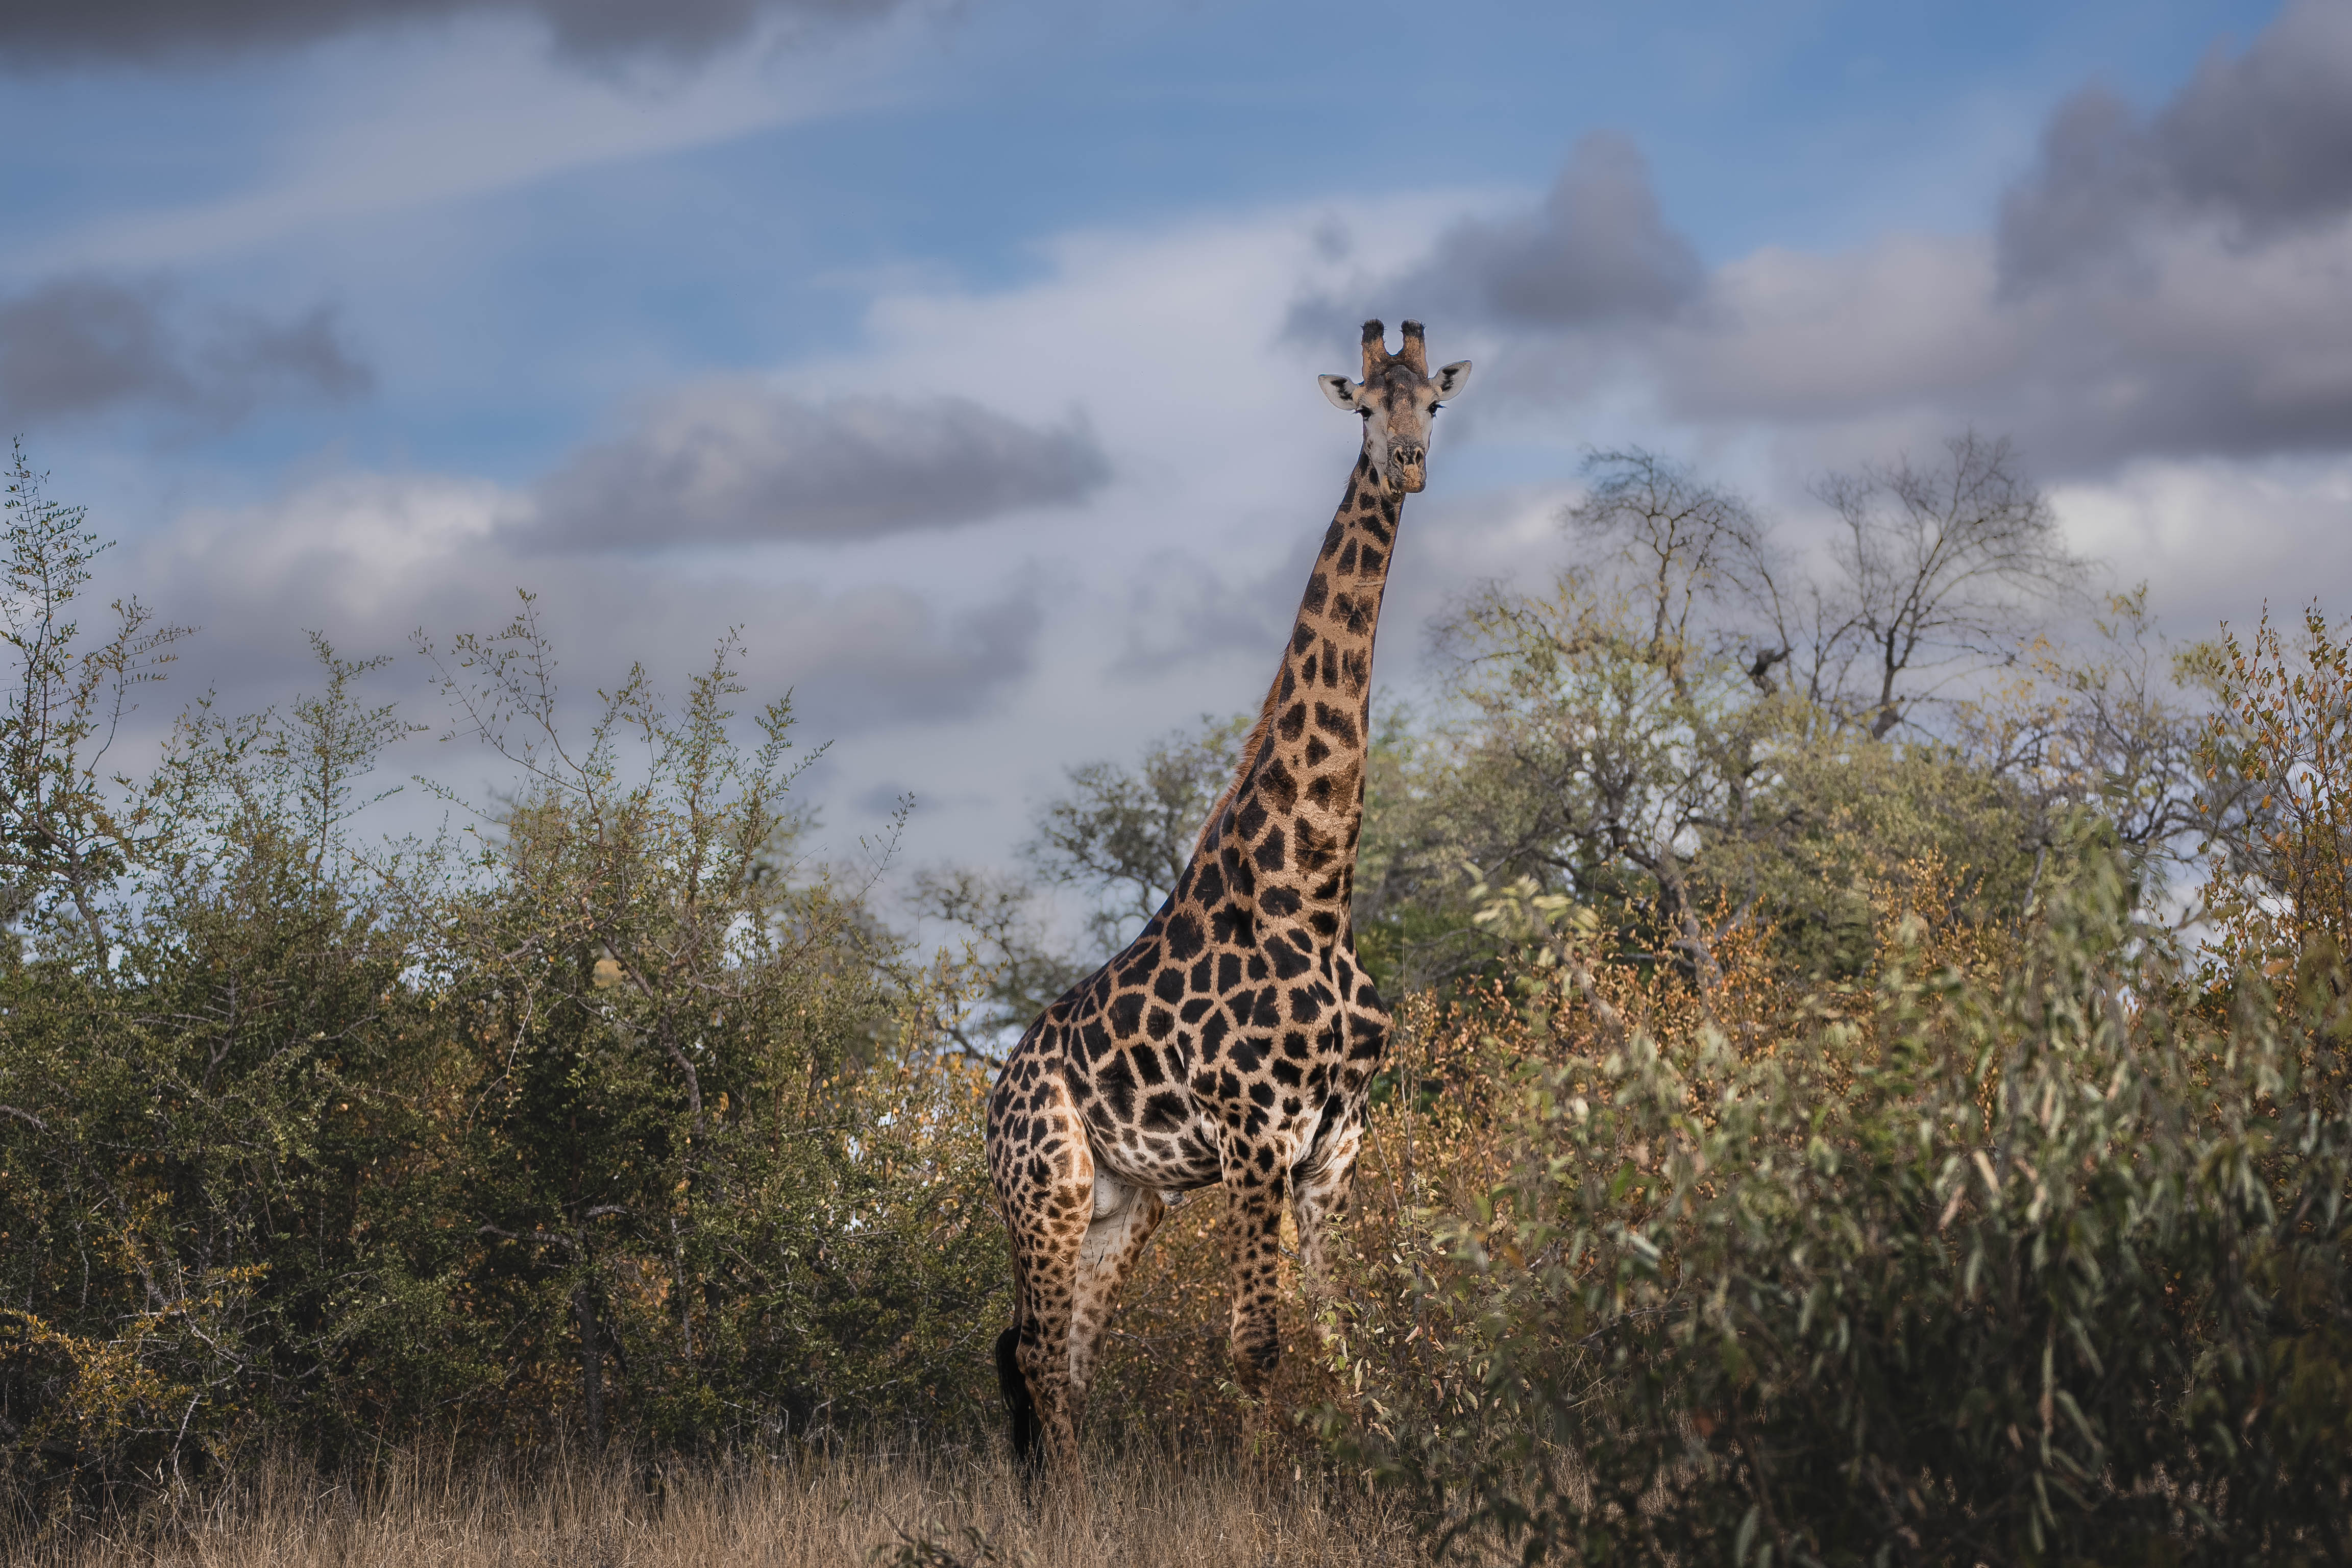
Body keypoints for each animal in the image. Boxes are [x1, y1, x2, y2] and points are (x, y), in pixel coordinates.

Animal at [985, 319, 1472, 1477]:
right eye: (1363, 408)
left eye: (1433, 402)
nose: (1408, 465)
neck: (1315, 889)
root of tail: (990, 1099)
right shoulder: (1256, 1131)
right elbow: (1255, 1344)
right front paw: (1266, 1497)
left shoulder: (1335, 1144)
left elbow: (1349, 1332)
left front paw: (1382, 1472)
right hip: (1045, 1187)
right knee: (1035, 1355)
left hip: (1132, 1201)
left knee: (1066, 1355)